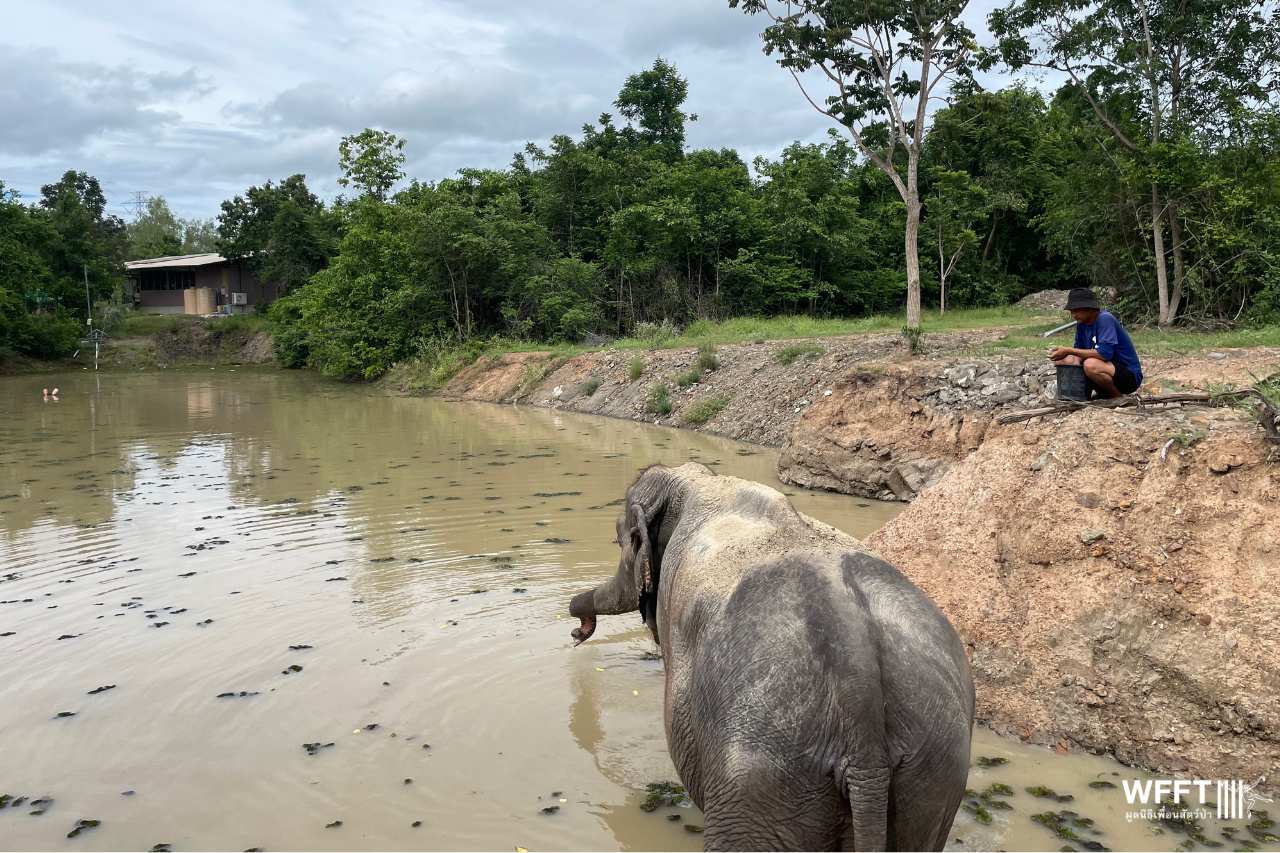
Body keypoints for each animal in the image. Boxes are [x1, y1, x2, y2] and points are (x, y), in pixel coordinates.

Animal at [565, 461, 972, 845]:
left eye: (620, 540)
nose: (576, 634)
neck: (697, 481)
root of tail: (860, 691)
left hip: (764, 772)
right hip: (933, 766)